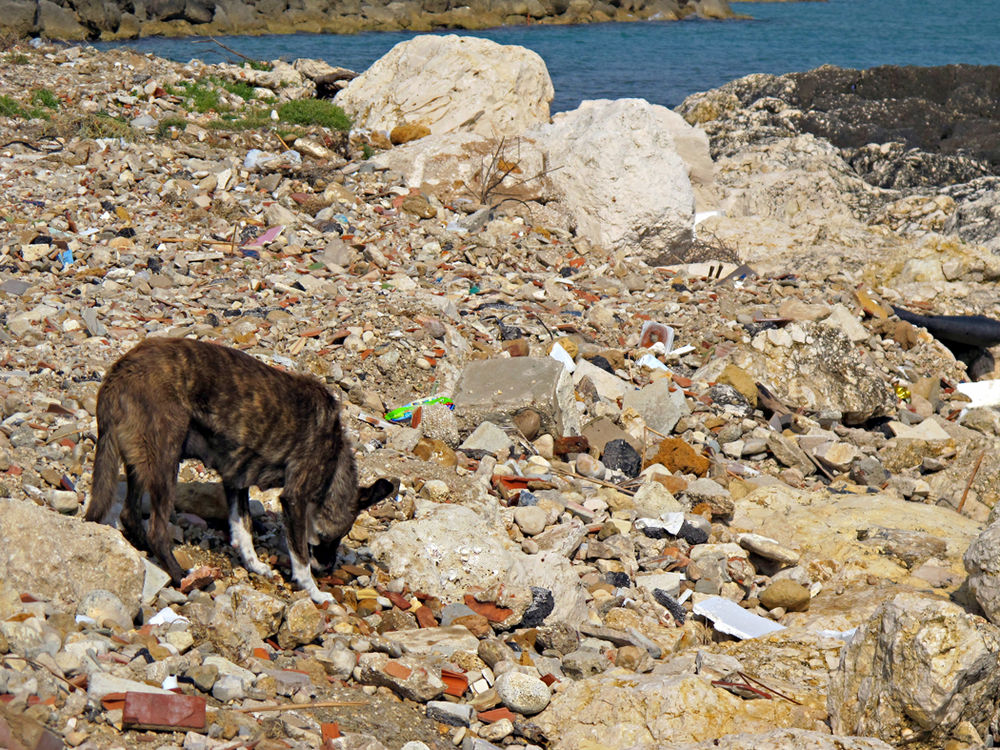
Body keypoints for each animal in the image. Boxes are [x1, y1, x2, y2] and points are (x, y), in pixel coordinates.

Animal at [86, 338, 398, 608]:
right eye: (335, 536)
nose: (327, 568)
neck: (334, 464)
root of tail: (119, 371)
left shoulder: (235, 482)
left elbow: (243, 530)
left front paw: (256, 566)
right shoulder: (295, 498)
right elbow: (299, 556)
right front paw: (315, 592)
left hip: (140, 462)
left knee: (129, 514)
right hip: (165, 461)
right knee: (157, 532)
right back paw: (179, 576)